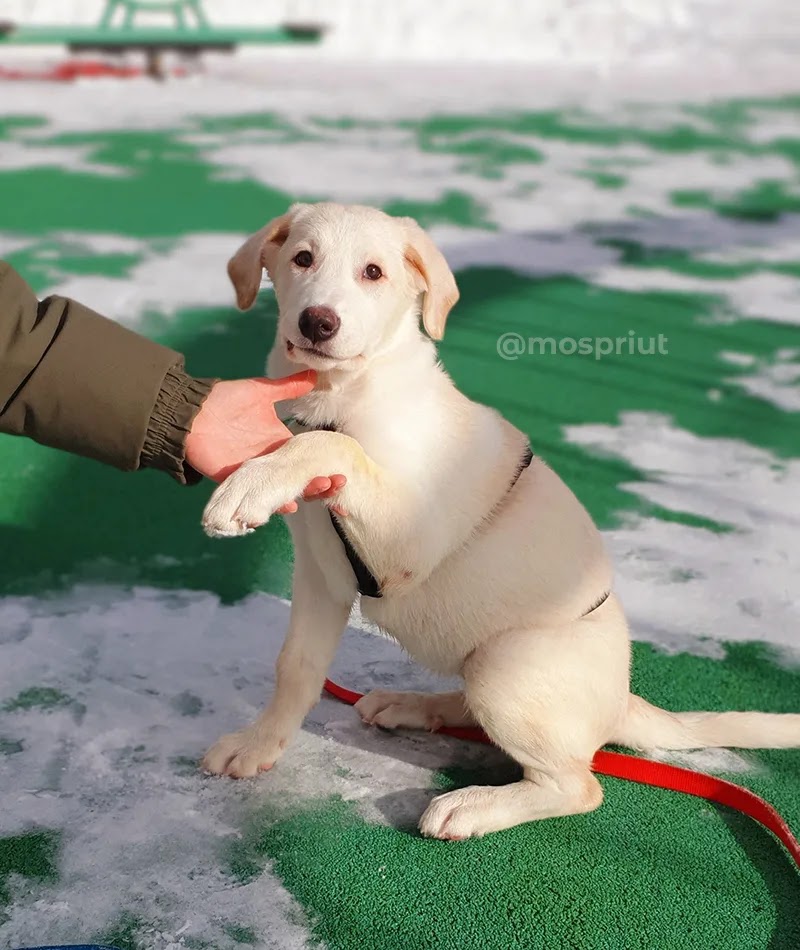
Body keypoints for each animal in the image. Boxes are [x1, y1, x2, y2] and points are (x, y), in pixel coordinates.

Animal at [202, 203, 800, 840]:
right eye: (302, 259)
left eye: (373, 272)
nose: (318, 322)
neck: (342, 397)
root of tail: (619, 700)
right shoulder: (321, 574)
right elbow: (296, 666)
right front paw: (259, 744)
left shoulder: (405, 548)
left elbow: (333, 448)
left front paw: (248, 486)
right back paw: (416, 706)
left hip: (503, 664)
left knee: (579, 785)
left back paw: (473, 804)